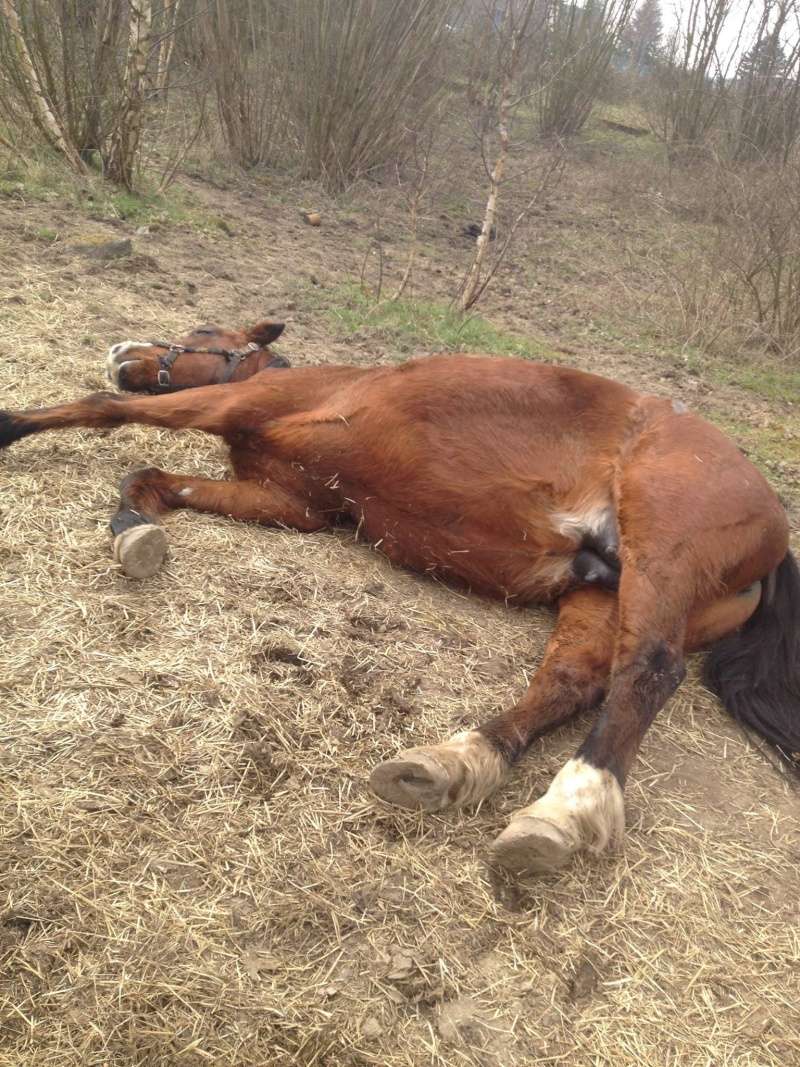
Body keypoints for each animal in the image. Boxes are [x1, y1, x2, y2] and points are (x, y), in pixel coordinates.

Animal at [3, 317, 797, 874]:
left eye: (203, 337)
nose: (121, 348)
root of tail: (774, 525)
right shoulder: (287, 501)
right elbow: (151, 481)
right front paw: (132, 531)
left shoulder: (229, 399)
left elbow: (103, 408)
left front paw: (12, 425)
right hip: (600, 592)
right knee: (572, 682)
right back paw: (457, 763)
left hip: (662, 550)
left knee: (649, 670)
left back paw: (567, 809)